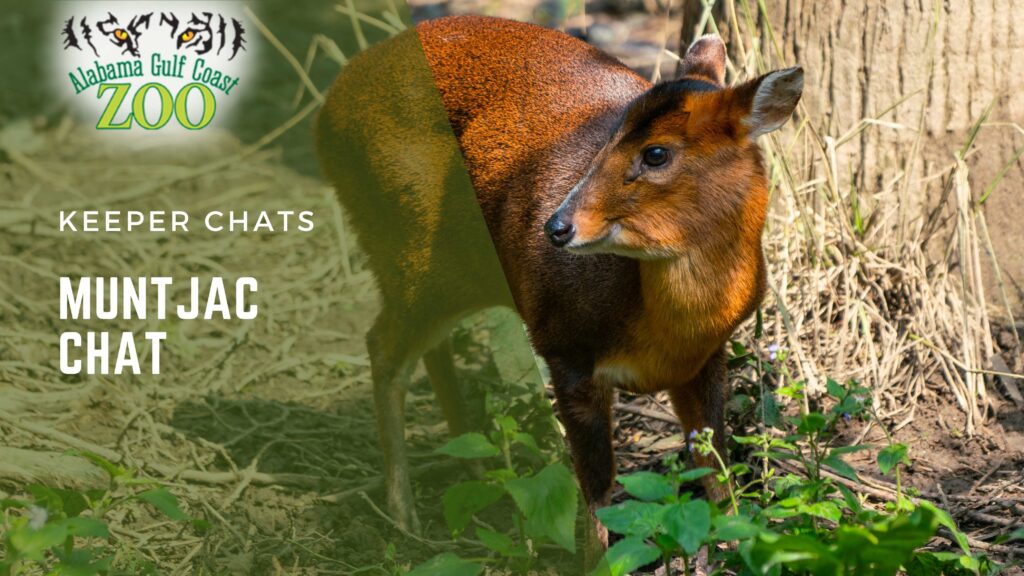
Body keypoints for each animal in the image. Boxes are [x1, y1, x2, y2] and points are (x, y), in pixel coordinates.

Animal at [315, 13, 802, 545]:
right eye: (608, 138)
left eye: (656, 154)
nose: (557, 226)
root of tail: (332, 104)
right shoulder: (564, 348)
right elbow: (596, 498)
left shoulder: (706, 356)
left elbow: (714, 470)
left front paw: (744, 541)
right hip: (409, 249)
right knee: (384, 346)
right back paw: (403, 517)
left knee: (424, 347)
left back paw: (468, 470)